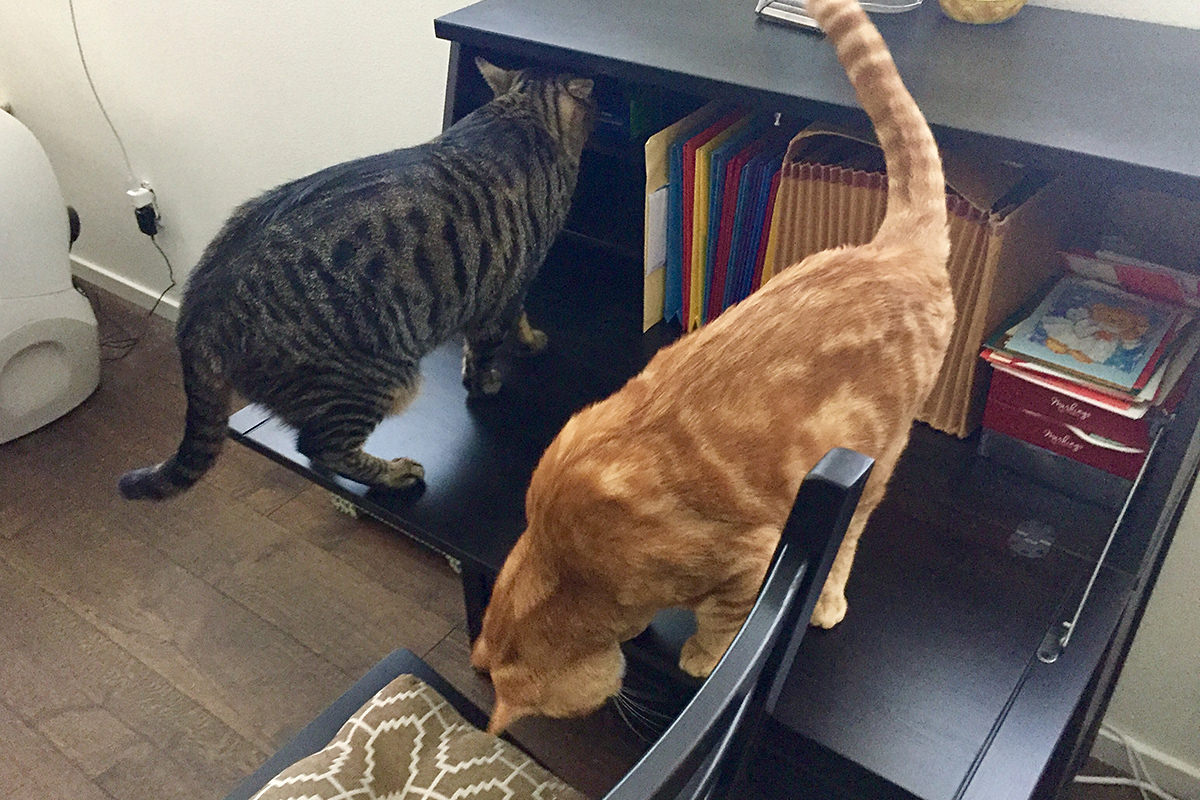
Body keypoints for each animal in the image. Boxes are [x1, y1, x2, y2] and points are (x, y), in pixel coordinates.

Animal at [117, 59, 595, 501]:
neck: (520, 113)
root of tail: (196, 319)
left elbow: (516, 320)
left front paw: (529, 338)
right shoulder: (510, 282)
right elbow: (487, 348)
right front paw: (494, 374)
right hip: (377, 380)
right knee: (320, 446)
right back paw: (395, 473)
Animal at [472, 0, 950, 734]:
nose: (622, 702)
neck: (566, 557)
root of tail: (897, 248)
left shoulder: (752, 559)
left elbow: (725, 622)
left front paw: (700, 655)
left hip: (877, 460)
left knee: (850, 536)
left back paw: (827, 600)